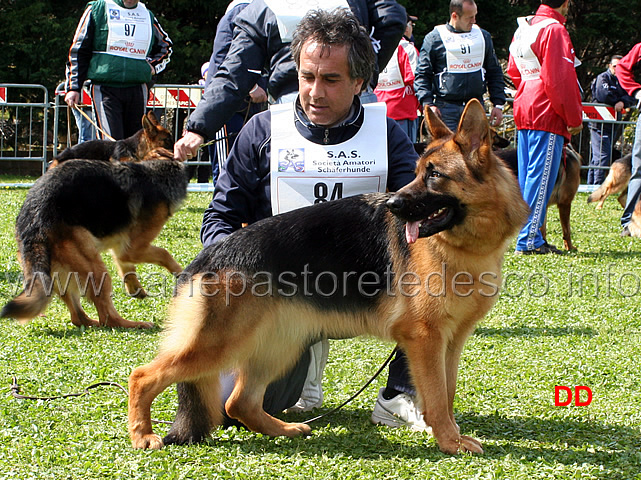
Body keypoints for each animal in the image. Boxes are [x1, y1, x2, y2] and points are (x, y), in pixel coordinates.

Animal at [1, 148, 188, 328]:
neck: (155, 172)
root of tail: (34, 218)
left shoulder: (121, 248)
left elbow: (126, 266)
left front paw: (134, 287)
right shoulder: (134, 248)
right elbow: (164, 253)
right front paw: (180, 273)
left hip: (57, 273)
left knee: (78, 316)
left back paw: (91, 323)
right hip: (95, 269)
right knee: (107, 317)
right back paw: (134, 324)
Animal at [127, 100, 528, 454]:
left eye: (434, 175)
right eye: (418, 172)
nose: (392, 205)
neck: (463, 244)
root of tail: (207, 256)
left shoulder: (450, 341)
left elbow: (447, 392)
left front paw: (452, 436)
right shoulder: (425, 339)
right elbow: (437, 398)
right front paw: (449, 442)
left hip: (278, 347)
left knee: (239, 402)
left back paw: (283, 429)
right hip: (219, 345)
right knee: (143, 376)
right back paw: (142, 435)